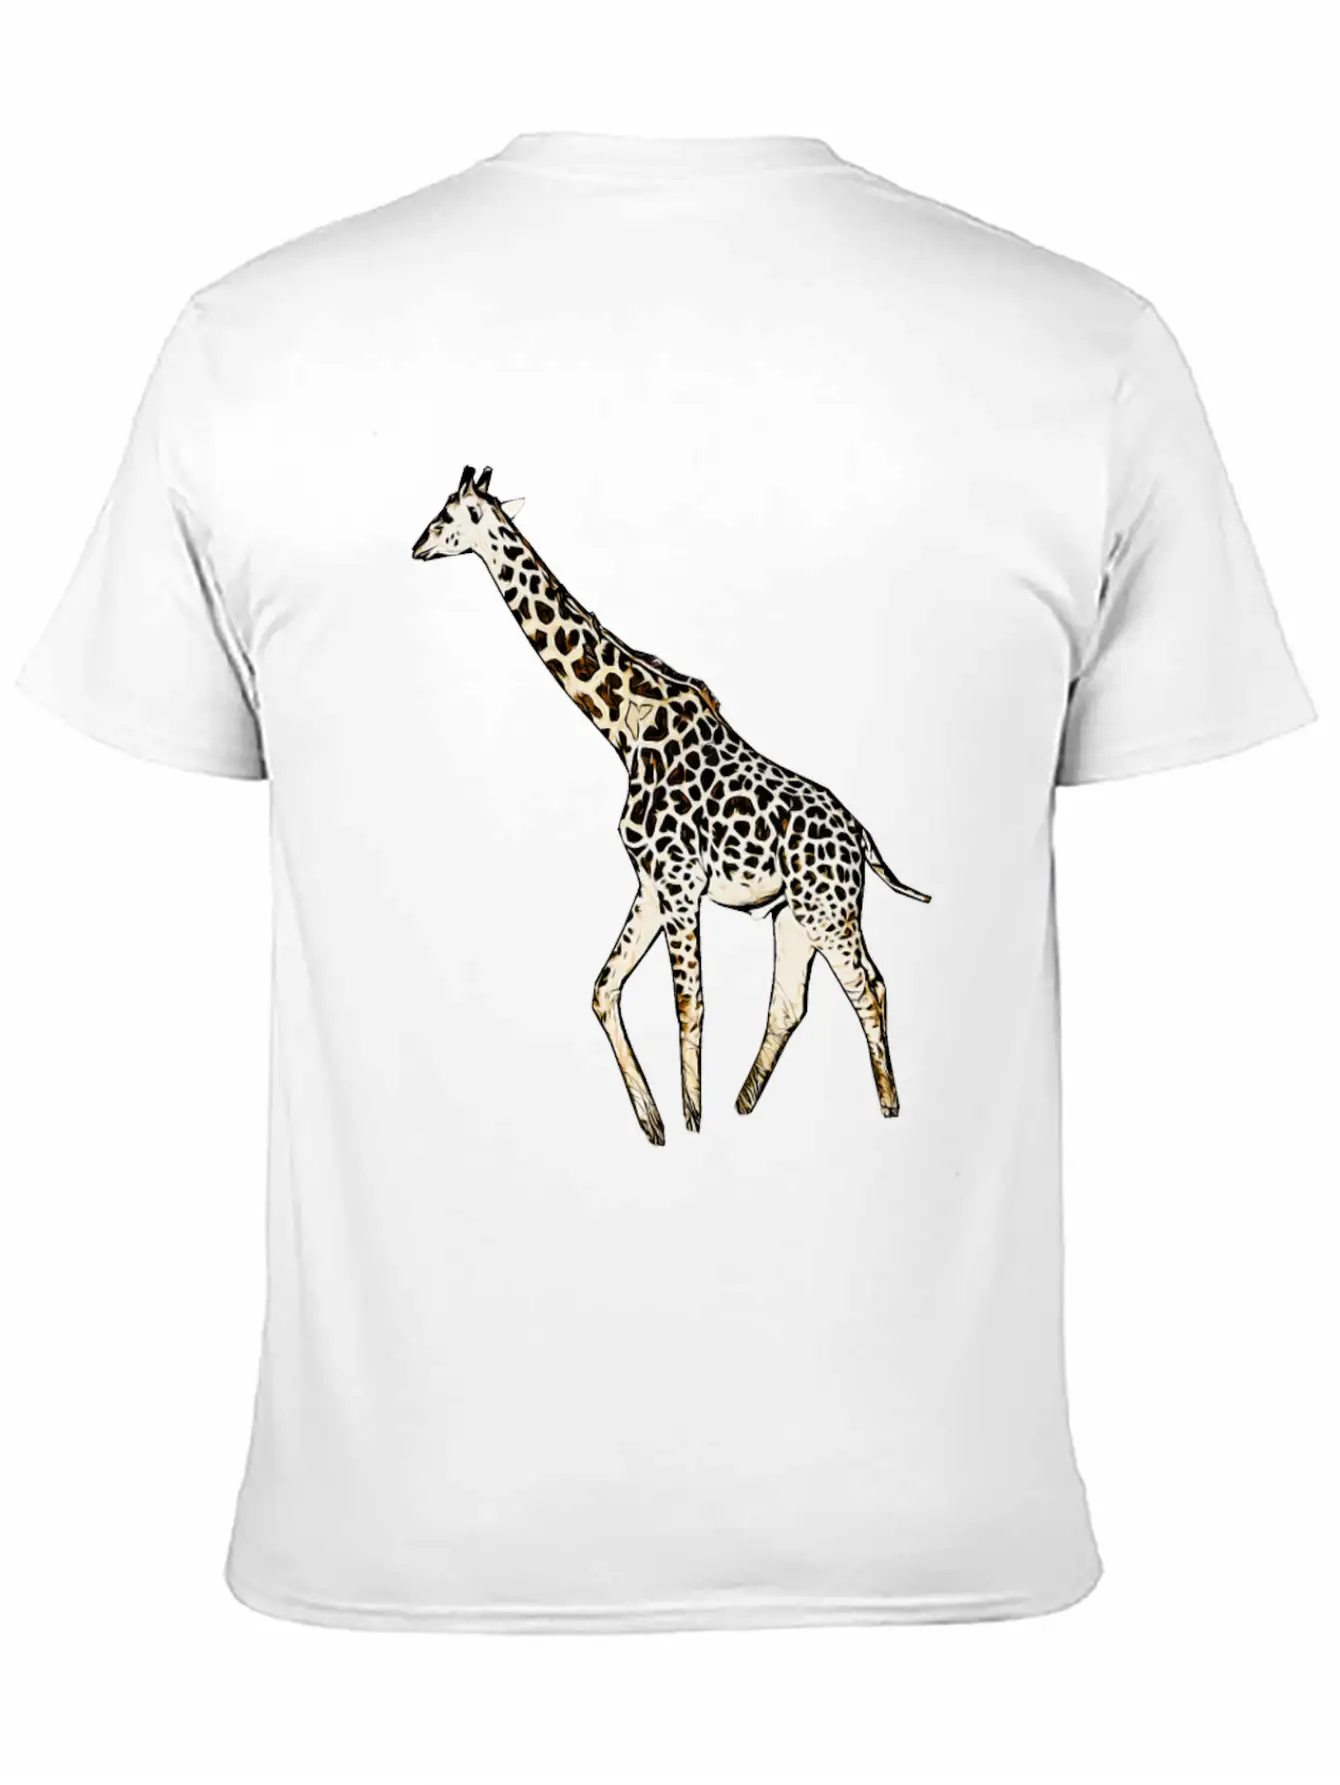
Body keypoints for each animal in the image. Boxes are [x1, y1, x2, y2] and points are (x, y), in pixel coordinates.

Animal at [412, 465, 931, 1147]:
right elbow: (604, 989)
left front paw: (690, 1122)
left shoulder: (681, 882)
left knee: (868, 988)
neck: (622, 726)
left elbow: (690, 1004)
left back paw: (889, 1107)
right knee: (795, 1000)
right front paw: (654, 1120)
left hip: (828, 911)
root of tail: (862, 838)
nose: (415, 547)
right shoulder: (652, 882)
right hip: (796, 916)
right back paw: (744, 1106)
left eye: (447, 515)